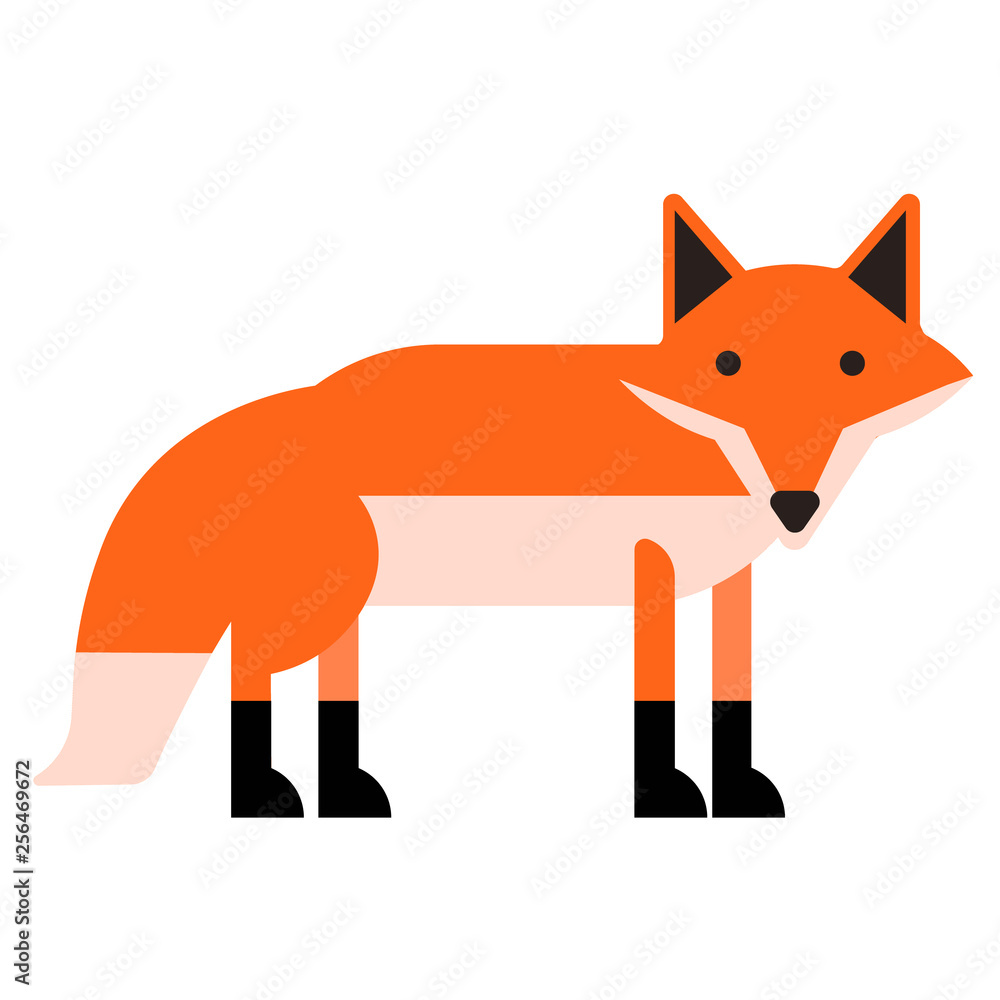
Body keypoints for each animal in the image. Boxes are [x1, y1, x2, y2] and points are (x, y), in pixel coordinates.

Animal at [37, 194, 970, 820]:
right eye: (729, 365)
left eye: (852, 365)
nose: (794, 503)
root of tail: (300, 403)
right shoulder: (650, 569)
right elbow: (658, 701)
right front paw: (663, 793)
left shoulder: (727, 582)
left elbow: (731, 698)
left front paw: (737, 791)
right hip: (321, 599)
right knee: (247, 671)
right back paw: (266, 795)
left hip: (341, 601)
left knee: (323, 690)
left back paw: (345, 793)